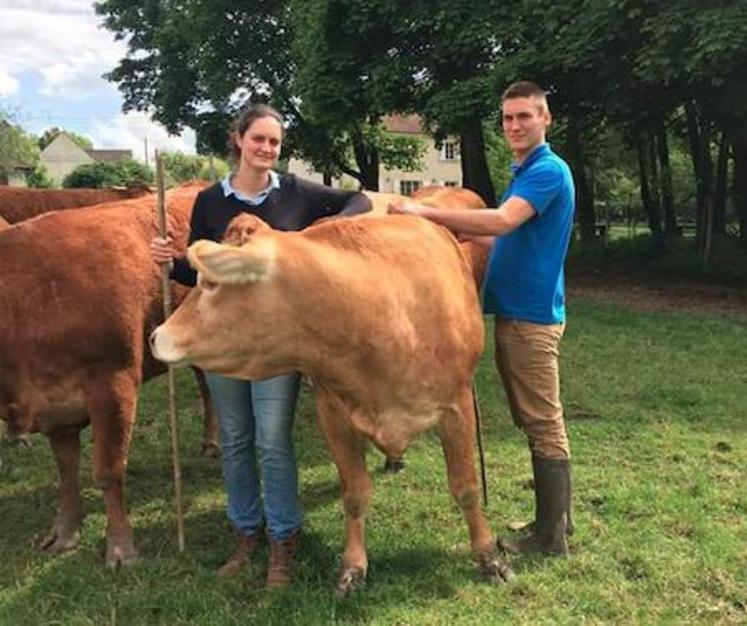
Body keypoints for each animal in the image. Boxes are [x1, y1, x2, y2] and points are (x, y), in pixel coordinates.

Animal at [152, 212, 516, 592]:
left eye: (210, 283)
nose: (155, 336)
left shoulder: (457, 407)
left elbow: (467, 487)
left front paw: (489, 557)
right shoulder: (334, 415)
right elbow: (354, 493)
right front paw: (353, 567)